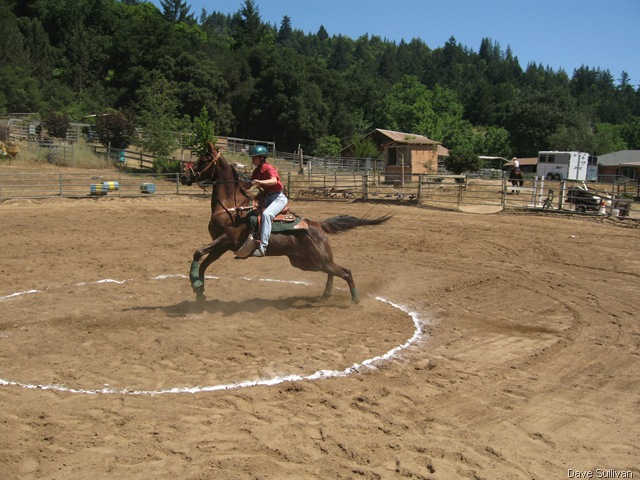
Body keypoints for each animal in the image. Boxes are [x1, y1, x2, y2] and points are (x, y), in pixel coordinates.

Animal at [180, 141, 391, 304]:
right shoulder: (222, 246)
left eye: (203, 160)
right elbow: (203, 263)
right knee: (333, 271)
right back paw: (326, 294)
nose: (183, 176)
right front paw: (199, 290)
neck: (232, 205)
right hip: (306, 262)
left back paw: (355, 299)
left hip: (318, 260)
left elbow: (197, 252)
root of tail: (317, 225)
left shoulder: (226, 239)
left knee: (345, 271)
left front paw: (195, 282)